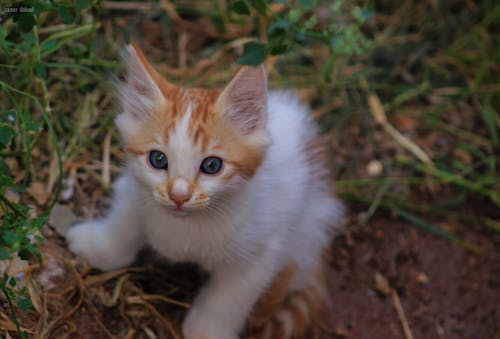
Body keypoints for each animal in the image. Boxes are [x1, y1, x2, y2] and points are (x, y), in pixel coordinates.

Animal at [67, 44, 344, 339]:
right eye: (158, 159)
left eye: (212, 165)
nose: (178, 195)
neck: (185, 225)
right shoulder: (135, 191)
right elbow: (124, 224)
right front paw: (98, 247)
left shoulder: (260, 254)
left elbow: (229, 299)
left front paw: (206, 330)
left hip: (305, 231)